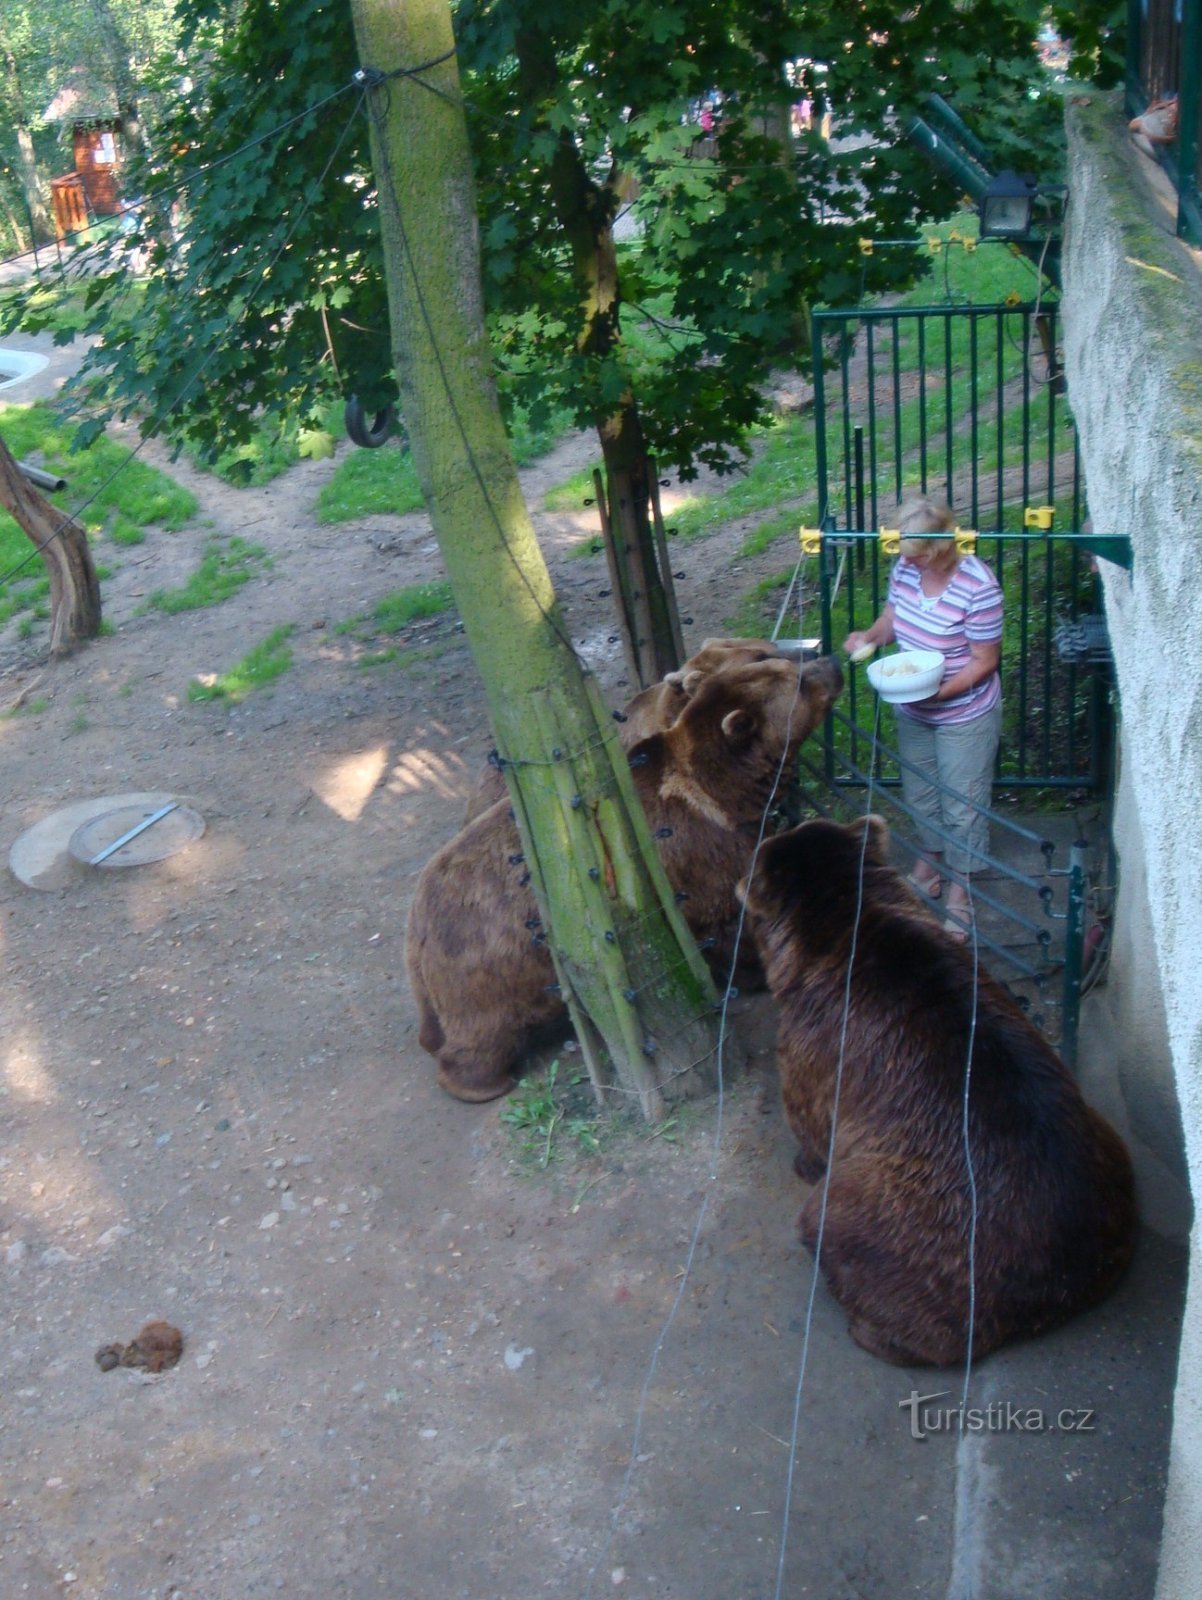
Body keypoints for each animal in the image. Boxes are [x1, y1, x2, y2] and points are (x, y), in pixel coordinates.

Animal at [739, 819, 1139, 1369]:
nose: (740, 877)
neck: (844, 927)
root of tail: (1057, 1284)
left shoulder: (816, 1048)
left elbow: (811, 1119)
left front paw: (804, 1161)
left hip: (920, 1232)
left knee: (836, 1231)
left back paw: (868, 1327)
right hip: (1104, 1150)